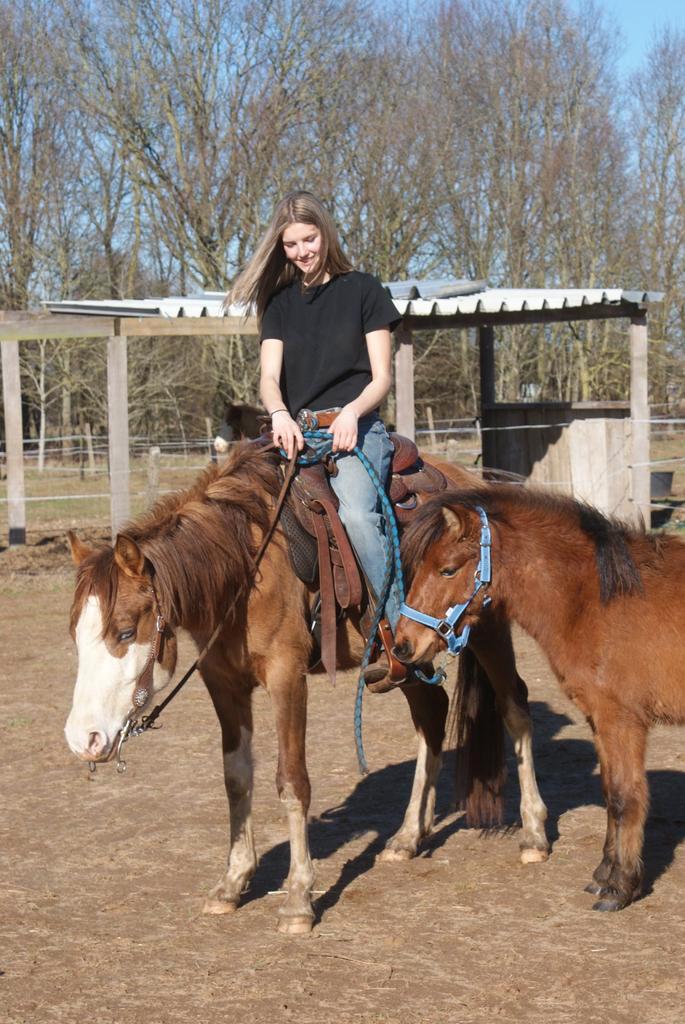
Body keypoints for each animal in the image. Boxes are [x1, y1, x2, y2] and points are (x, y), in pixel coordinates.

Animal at [64, 442, 550, 934]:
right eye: (75, 635)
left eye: (125, 631)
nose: (83, 739)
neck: (246, 562)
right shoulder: (223, 682)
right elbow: (236, 779)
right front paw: (232, 881)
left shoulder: (287, 675)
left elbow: (292, 782)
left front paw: (298, 898)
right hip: (407, 658)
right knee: (431, 715)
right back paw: (408, 836)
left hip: (486, 629)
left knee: (514, 707)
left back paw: (533, 833)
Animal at [395, 483, 685, 911]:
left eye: (447, 568)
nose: (402, 645)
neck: (597, 599)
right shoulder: (599, 720)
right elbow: (609, 792)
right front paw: (605, 875)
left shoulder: (621, 720)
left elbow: (624, 797)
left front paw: (621, 886)